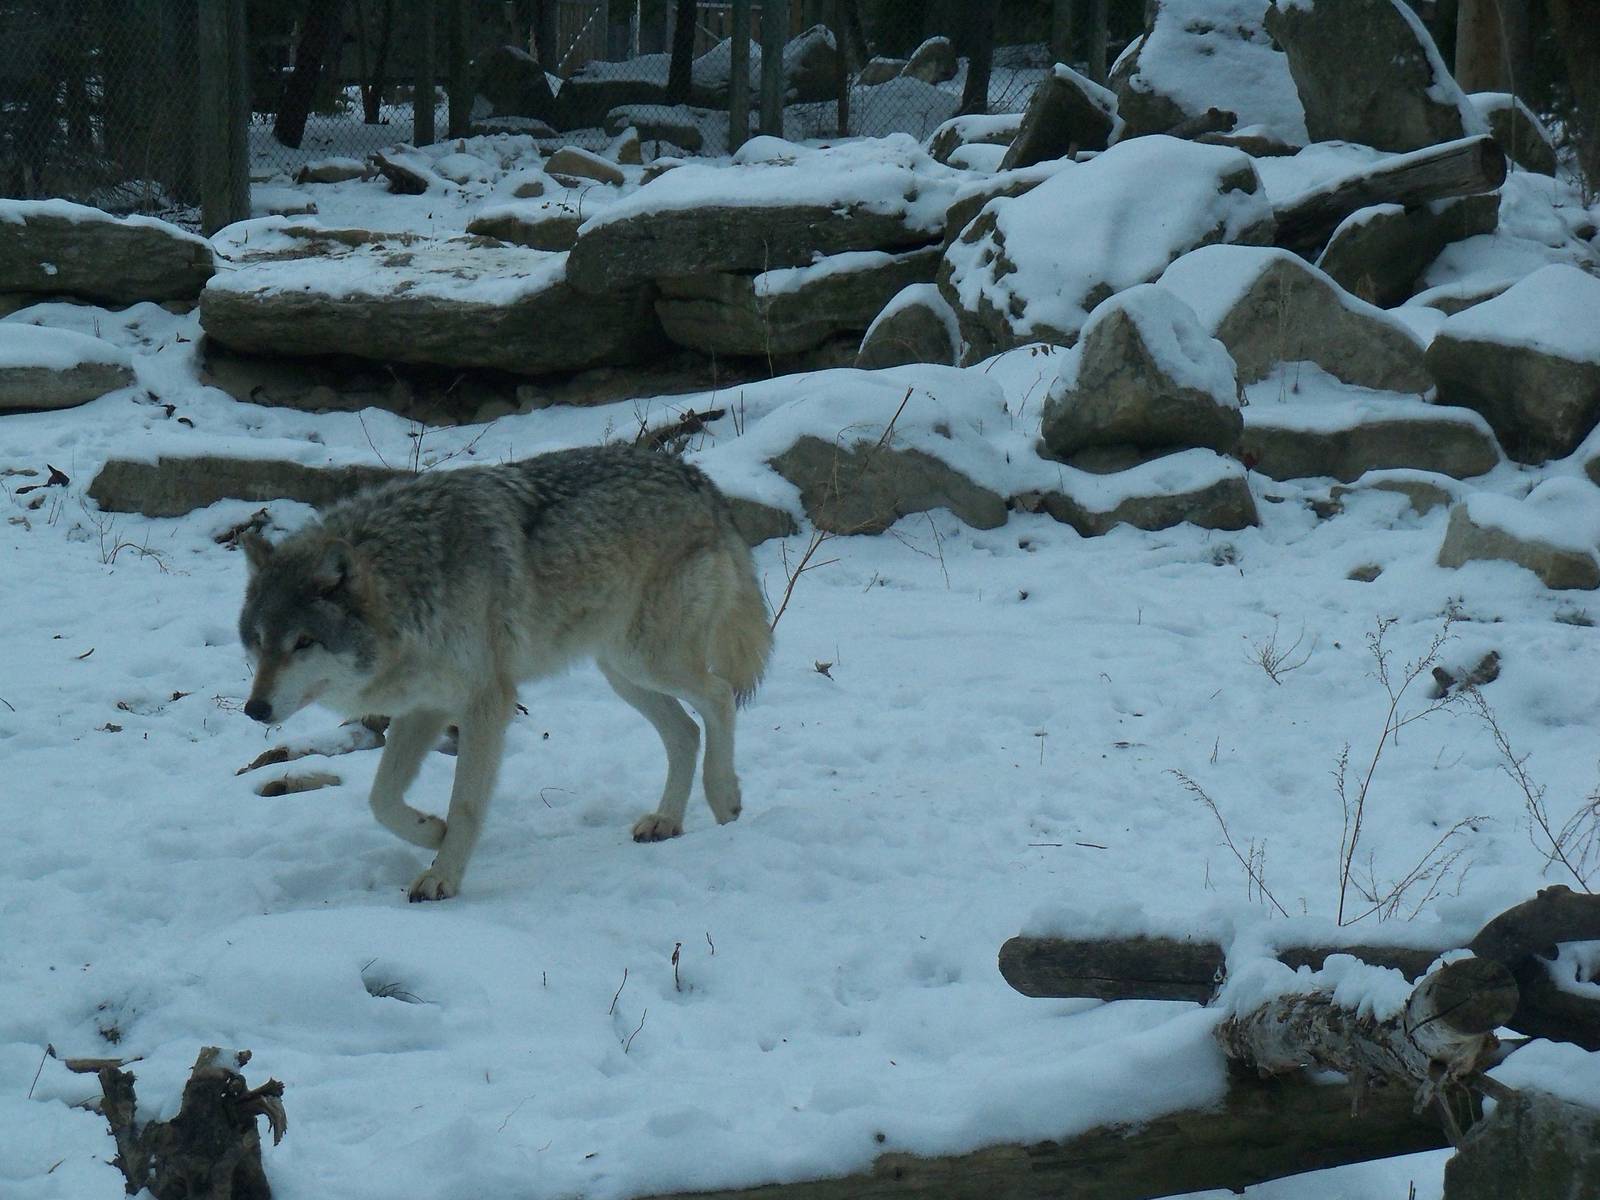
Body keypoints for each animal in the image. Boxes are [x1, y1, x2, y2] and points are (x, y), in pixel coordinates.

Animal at [237, 445, 773, 901]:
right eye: (259, 641)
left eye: (303, 642)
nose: (254, 708)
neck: (412, 584)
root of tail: (697, 477)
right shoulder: (424, 708)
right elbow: (381, 799)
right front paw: (431, 831)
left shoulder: (485, 703)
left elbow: (465, 803)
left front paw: (442, 876)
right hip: (622, 673)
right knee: (685, 731)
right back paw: (666, 820)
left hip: (650, 660)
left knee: (719, 695)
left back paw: (725, 798)